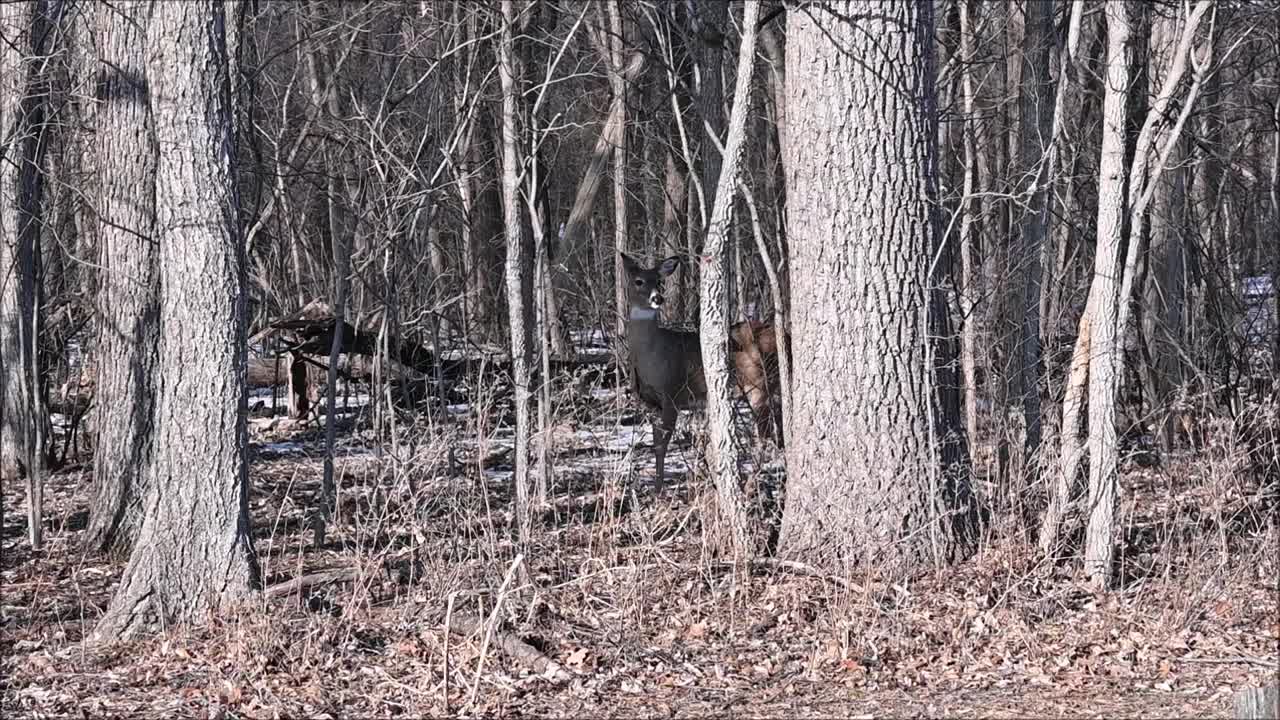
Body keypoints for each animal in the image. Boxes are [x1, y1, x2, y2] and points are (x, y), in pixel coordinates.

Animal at [622, 251, 788, 486]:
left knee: (764, 438)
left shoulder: (673, 394)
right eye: (639, 281)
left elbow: (663, 444)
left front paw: (659, 488)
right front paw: (657, 484)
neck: (653, 357)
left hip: (758, 384)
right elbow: (656, 444)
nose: (657, 298)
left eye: (660, 281)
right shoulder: (651, 404)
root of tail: (786, 336)